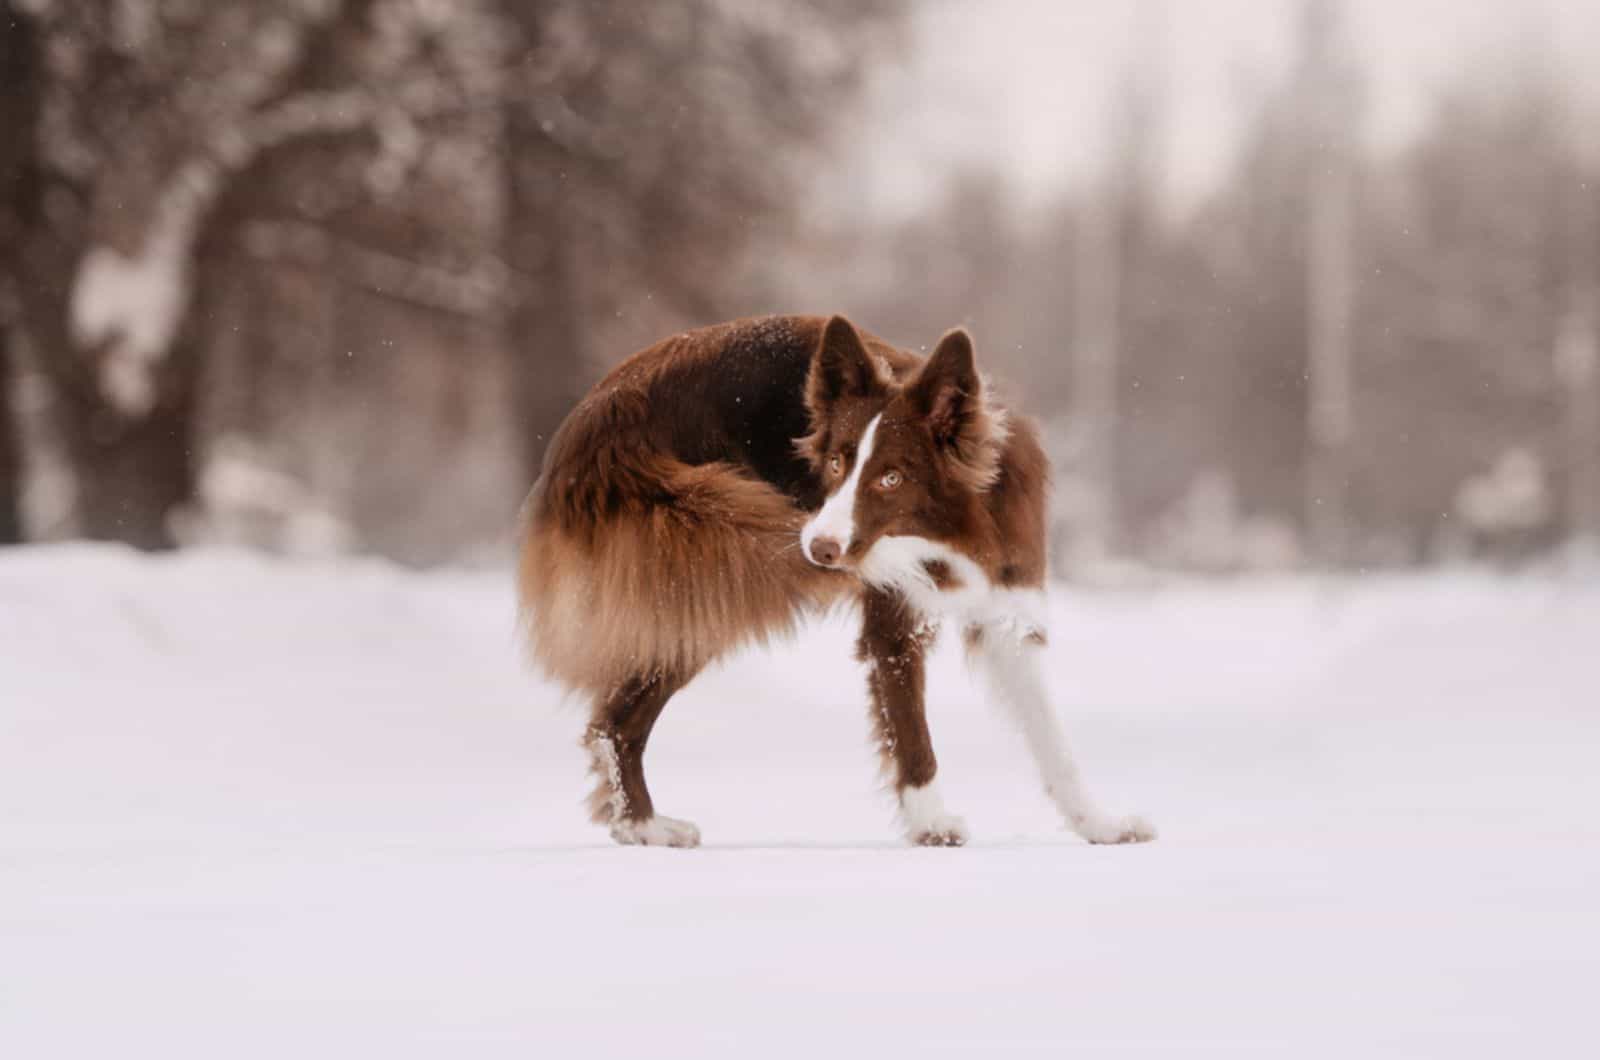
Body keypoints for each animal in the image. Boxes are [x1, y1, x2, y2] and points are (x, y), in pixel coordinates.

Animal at [518, 315, 1158, 858]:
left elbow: (1052, 737)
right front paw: (932, 826)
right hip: (715, 564)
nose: (818, 548)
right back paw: (646, 826)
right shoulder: (894, 621)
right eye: (833, 465)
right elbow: (911, 731)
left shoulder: (1006, 606)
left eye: (890, 477)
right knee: (618, 723)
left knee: (614, 722)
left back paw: (638, 826)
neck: (945, 533)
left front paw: (1099, 824)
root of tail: (587, 423)